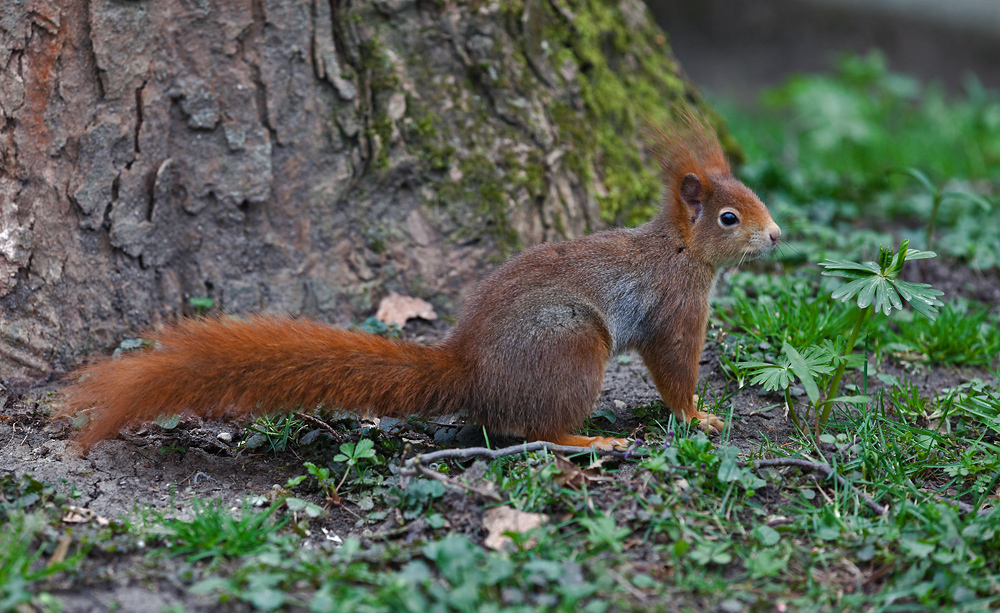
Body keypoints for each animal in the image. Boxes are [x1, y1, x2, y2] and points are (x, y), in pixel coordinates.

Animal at [58, 112, 780, 452]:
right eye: (729, 216)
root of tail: (471, 370)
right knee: (536, 429)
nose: (775, 236)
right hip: (571, 344)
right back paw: (590, 438)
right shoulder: (674, 310)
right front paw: (697, 414)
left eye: (752, 197)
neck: (681, 250)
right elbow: (674, 369)